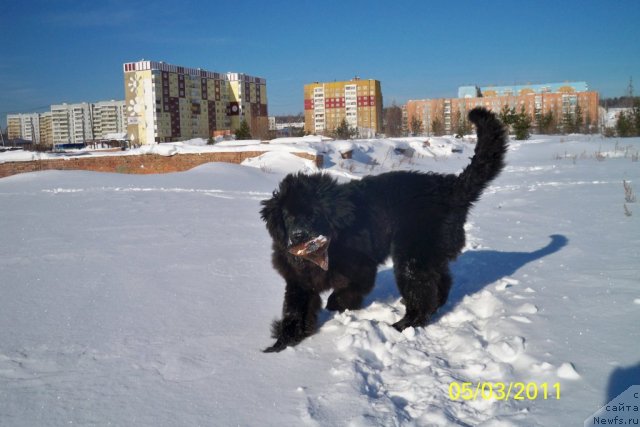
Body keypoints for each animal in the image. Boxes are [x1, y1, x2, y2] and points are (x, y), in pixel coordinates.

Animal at [262, 108, 508, 352]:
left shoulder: (361, 267)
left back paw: (403, 325)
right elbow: (294, 311)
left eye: (313, 215)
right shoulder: (299, 280)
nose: (298, 236)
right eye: (288, 217)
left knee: (421, 293)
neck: (324, 248)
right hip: (429, 254)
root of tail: (450, 189)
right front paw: (282, 343)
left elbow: (347, 291)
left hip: (412, 255)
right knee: (440, 283)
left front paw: (335, 304)